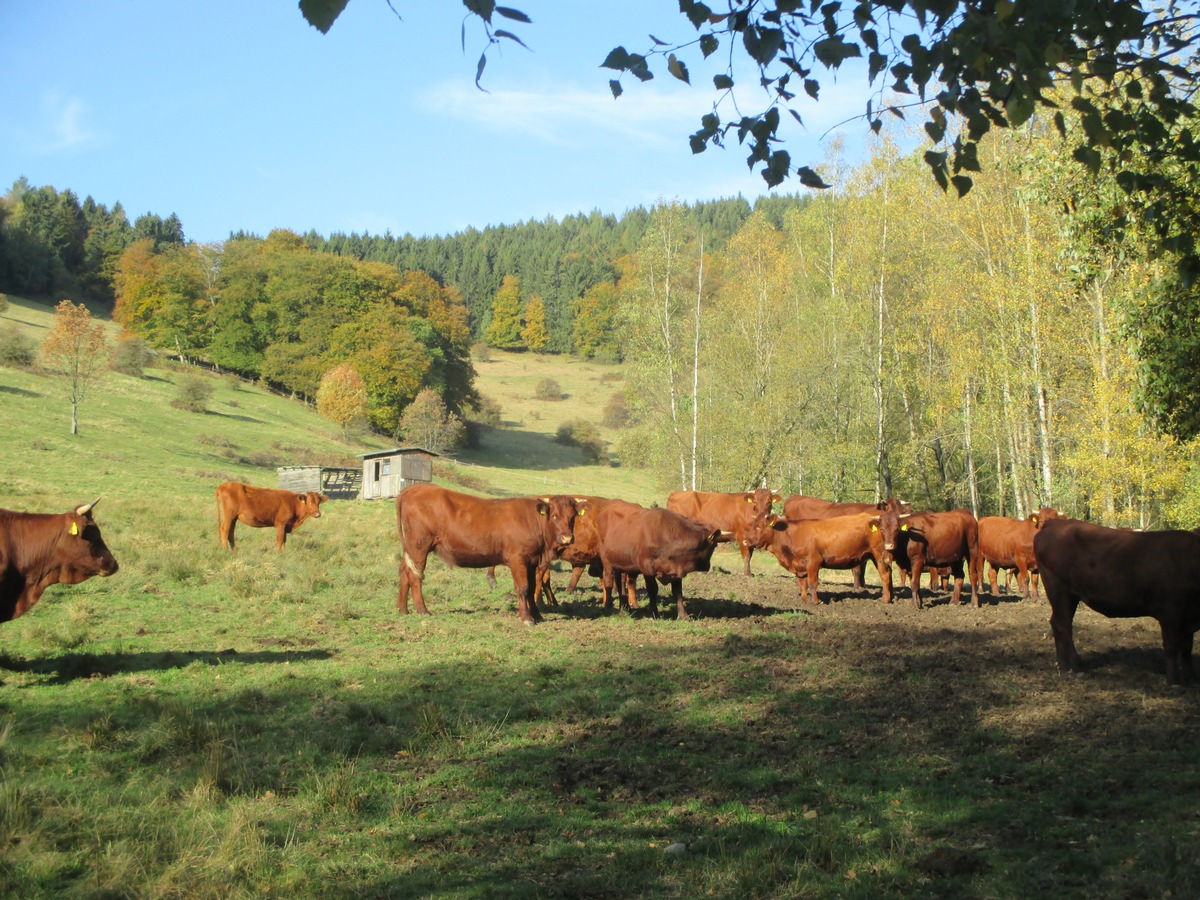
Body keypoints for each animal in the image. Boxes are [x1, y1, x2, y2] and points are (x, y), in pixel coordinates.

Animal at [396, 487, 583, 628]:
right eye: (554, 516)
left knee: (404, 571)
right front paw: (527, 618)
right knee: (415, 576)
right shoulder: (518, 560)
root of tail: (415, 488)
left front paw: (537, 614)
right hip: (419, 547)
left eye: (572, 516)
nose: (567, 538)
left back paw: (403, 609)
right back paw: (422, 610)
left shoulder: (532, 561)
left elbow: (531, 588)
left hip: (411, 549)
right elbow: (523, 588)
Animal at [748, 513, 892, 607]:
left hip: (879, 555)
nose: (745, 541)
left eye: (760, 526)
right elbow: (803, 585)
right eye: (753, 525)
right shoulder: (799, 566)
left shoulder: (813, 562)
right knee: (888, 574)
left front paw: (815, 602)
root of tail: (873, 518)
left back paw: (885, 600)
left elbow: (812, 583)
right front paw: (803, 601)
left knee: (884, 575)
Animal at [1032, 518, 1200, 686]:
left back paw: (1064, 664)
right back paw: (1076, 665)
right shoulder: (1170, 612)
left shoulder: (1188, 616)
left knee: (1057, 623)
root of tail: (1055, 523)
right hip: (1059, 590)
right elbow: (1172, 646)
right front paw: (1173, 680)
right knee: (1063, 625)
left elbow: (1187, 647)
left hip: (1068, 596)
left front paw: (1190, 677)